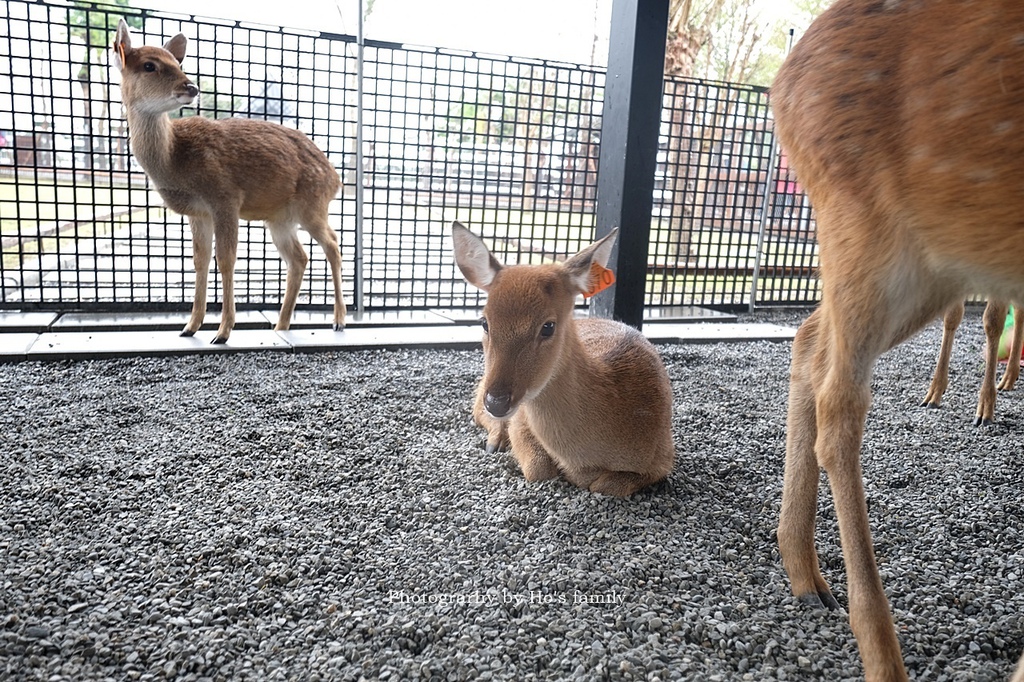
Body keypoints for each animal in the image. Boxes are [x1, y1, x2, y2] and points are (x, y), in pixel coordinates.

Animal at [111, 19, 344, 342]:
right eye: (149, 65)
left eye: (177, 63)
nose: (191, 87)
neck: (175, 158)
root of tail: (336, 178)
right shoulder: (198, 212)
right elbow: (200, 260)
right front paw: (189, 327)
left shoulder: (225, 197)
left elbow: (226, 259)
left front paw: (222, 332)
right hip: (280, 219)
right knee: (299, 257)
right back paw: (281, 325)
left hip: (312, 206)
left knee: (333, 244)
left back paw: (338, 321)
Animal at [452, 223, 675, 493]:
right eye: (484, 322)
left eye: (548, 326)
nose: (496, 401)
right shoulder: (521, 419)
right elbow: (538, 469)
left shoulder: (664, 457)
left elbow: (604, 486)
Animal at [770, 0, 1024, 675]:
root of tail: (781, 83)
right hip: (869, 224)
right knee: (840, 402)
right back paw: (880, 651)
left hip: (940, 256)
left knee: (809, 340)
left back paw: (805, 574)